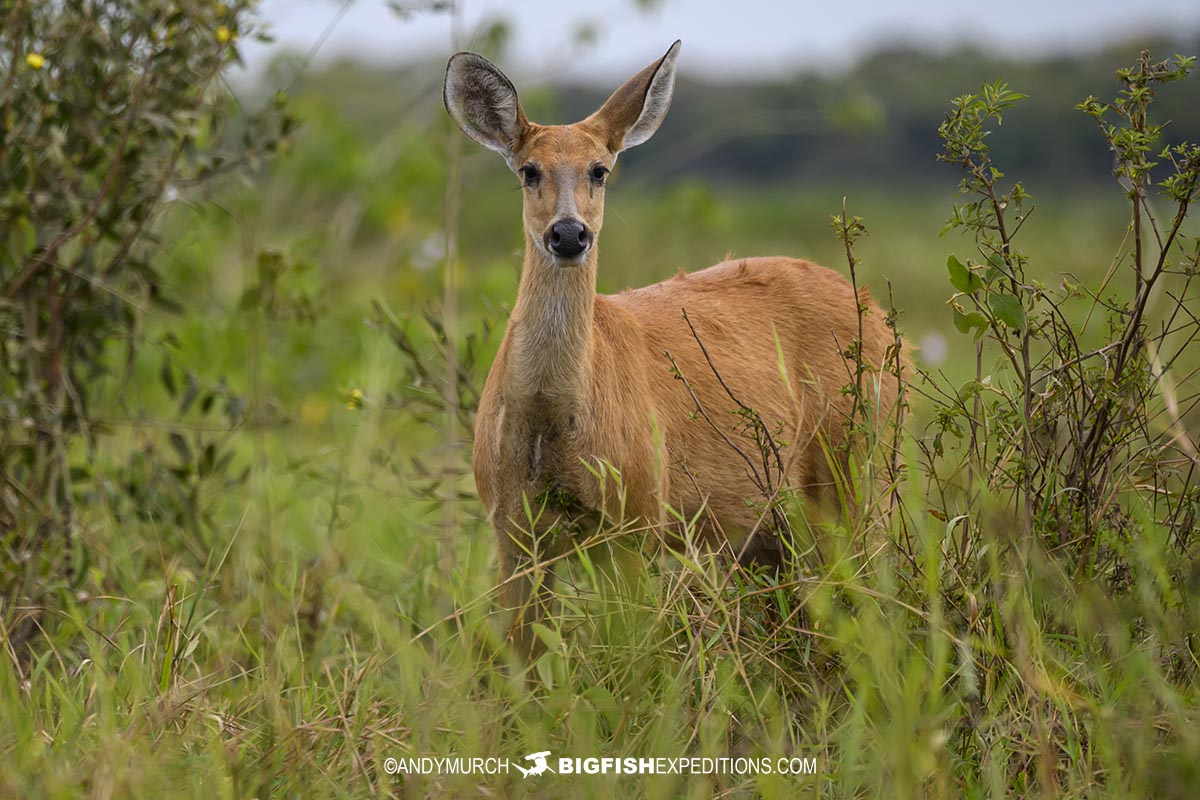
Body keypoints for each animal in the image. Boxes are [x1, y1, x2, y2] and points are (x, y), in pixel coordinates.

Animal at [443, 40, 901, 658]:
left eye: (600, 170)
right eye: (528, 171)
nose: (569, 234)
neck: (552, 420)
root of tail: (883, 322)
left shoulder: (637, 516)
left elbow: (632, 653)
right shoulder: (510, 525)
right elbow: (521, 656)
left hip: (858, 462)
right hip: (768, 520)